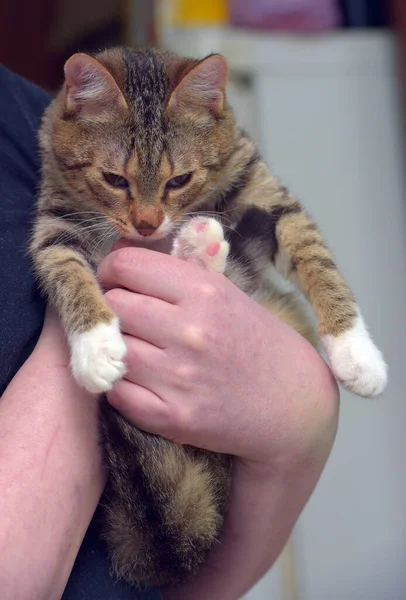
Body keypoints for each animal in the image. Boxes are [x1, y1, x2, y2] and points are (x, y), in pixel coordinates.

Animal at [30, 45, 386, 584]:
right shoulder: (54, 222)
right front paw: (96, 346)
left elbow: (315, 256)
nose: (147, 224)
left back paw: (199, 251)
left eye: (180, 179)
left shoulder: (263, 190)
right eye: (114, 179)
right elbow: (65, 269)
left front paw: (354, 350)